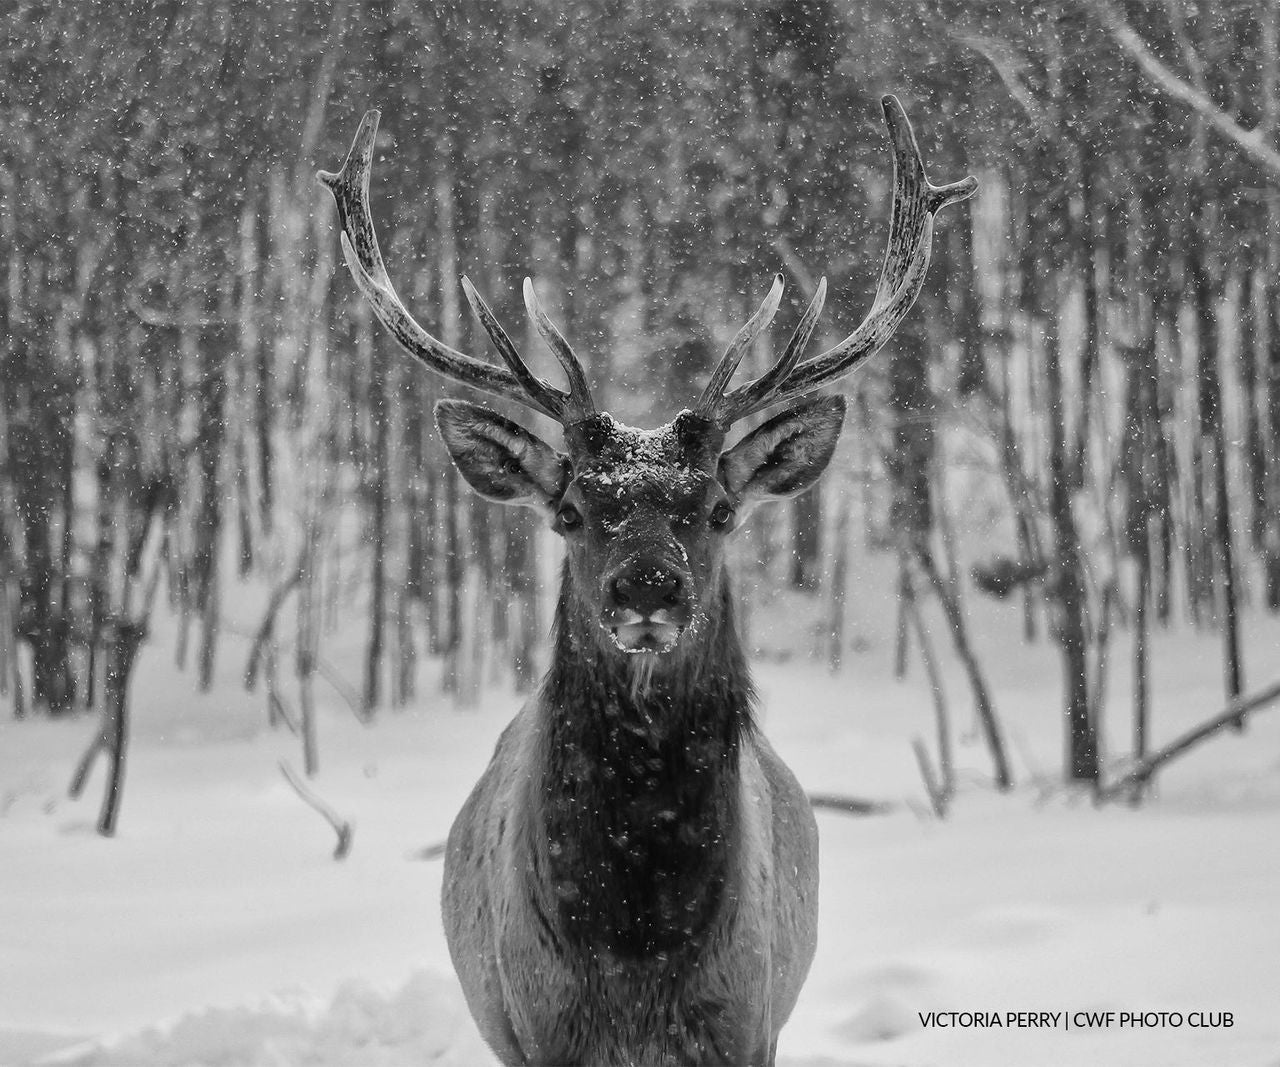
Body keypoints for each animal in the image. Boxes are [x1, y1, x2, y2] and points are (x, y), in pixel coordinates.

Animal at [319, 95, 974, 1067]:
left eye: (719, 509)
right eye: (570, 511)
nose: (648, 590)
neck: (637, 952)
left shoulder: (744, 1024)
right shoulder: (541, 1027)